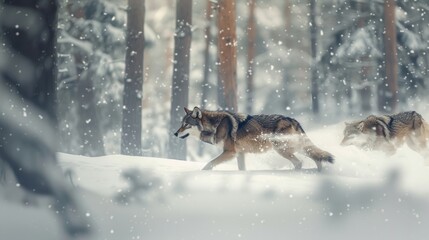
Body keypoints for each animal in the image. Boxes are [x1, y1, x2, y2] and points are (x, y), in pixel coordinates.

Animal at [172, 107, 332, 171]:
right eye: (181, 124)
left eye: (185, 125)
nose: (174, 134)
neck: (215, 125)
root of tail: (293, 119)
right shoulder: (240, 154)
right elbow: (242, 169)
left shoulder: (230, 152)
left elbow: (209, 164)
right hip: (295, 147)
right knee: (316, 157)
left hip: (281, 148)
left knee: (300, 162)